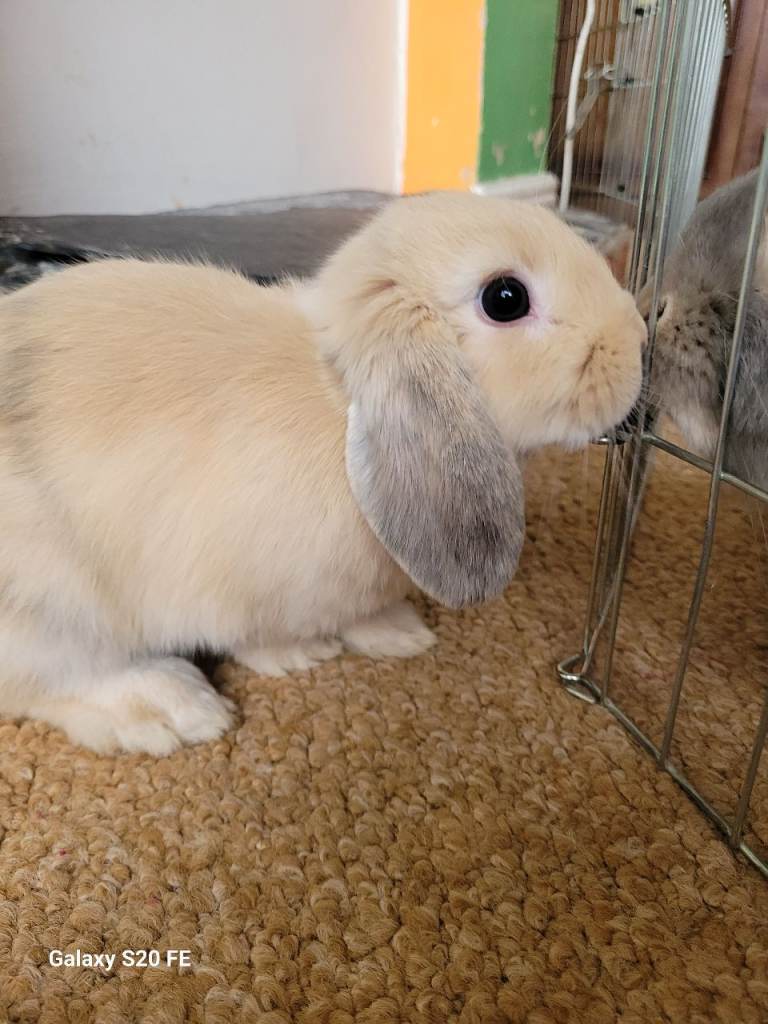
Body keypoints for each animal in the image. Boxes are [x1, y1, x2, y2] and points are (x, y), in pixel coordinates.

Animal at [0, 191, 645, 754]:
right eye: (506, 297)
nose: (638, 340)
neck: (343, 402)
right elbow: (256, 636)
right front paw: (303, 654)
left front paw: (399, 632)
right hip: (54, 611)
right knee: (54, 682)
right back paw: (170, 709)